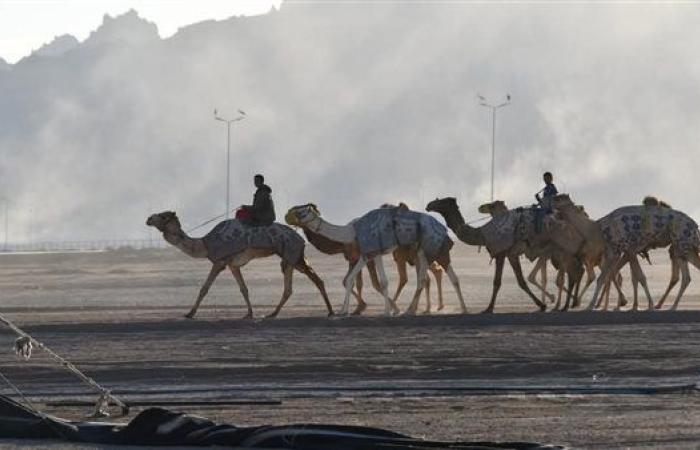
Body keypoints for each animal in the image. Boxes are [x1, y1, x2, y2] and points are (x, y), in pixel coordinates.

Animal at [145, 213, 334, 318]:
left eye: (163, 215)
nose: (148, 219)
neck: (205, 243)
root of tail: (301, 238)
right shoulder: (233, 265)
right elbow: (243, 288)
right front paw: (249, 314)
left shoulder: (220, 261)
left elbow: (204, 288)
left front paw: (190, 314)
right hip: (296, 257)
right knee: (314, 280)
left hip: (290, 254)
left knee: (295, 284)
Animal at [284, 204, 464, 316]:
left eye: (302, 212)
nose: (286, 216)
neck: (352, 231)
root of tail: (443, 228)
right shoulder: (368, 254)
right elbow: (350, 279)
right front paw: (343, 311)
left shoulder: (373, 251)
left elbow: (381, 282)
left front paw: (387, 312)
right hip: (423, 249)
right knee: (436, 278)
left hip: (429, 246)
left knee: (434, 277)